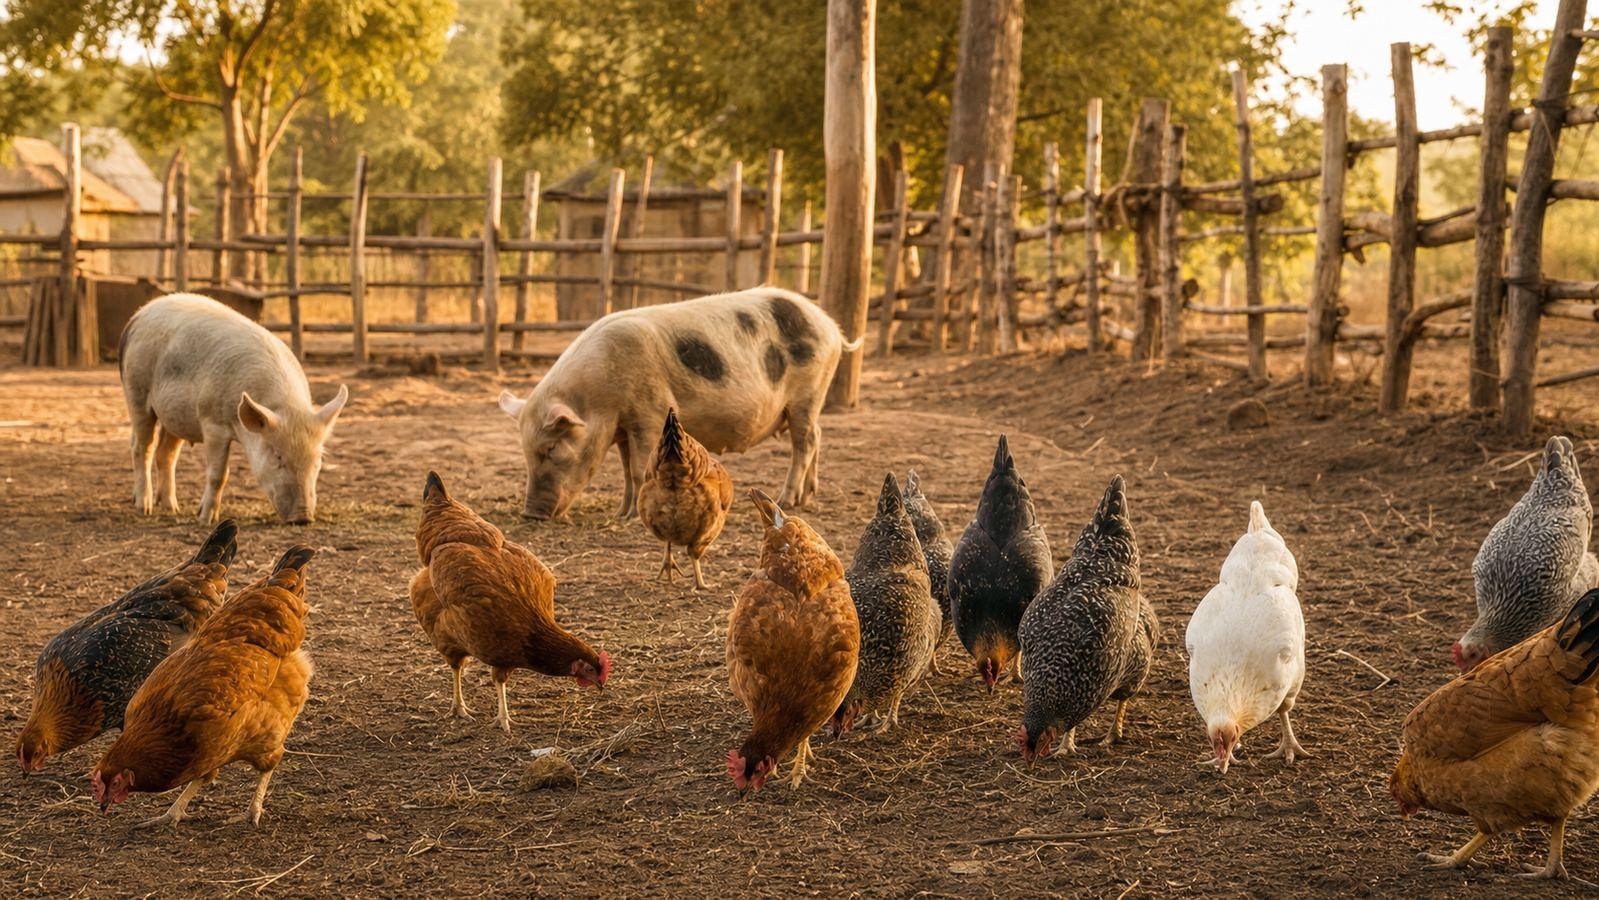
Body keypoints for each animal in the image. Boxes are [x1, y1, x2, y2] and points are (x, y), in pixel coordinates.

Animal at [118, 293, 349, 525]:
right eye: (278, 456)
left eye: (318, 459)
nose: (303, 518)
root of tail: (138, 315)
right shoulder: (211, 421)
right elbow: (219, 474)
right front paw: (206, 520)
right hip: (136, 392)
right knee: (142, 447)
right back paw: (144, 508)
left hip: (175, 416)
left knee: (165, 453)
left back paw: (172, 508)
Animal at [498, 287, 859, 520]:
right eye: (526, 452)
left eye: (551, 449)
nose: (530, 514)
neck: (599, 398)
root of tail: (831, 327)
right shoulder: (623, 428)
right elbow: (626, 471)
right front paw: (621, 513)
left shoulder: (649, 413)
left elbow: (639, 468)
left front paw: (633, 516)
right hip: (810, 401)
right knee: (817, 436)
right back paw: (808, 496)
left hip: (807, 393)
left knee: (805, 442)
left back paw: (788, 498)